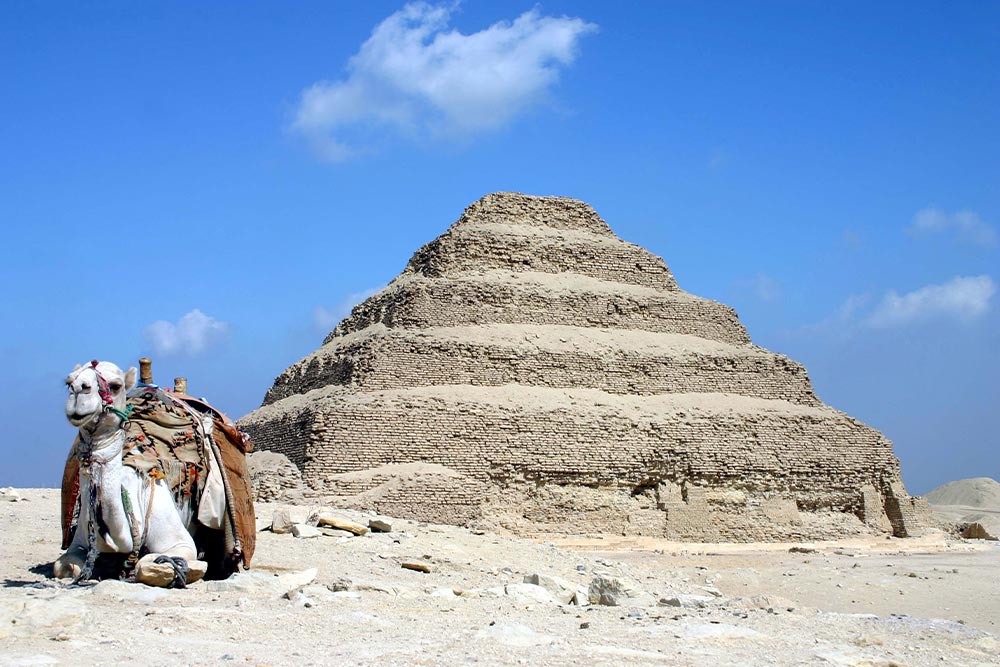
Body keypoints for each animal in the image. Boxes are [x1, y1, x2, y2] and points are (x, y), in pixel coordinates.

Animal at [55, 362, 238, 588]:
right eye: (69, 382)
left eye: (116, 386)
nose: (79, 391)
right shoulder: (78, 542)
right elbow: (64, 567)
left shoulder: (179, 542)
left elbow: (149, 563)